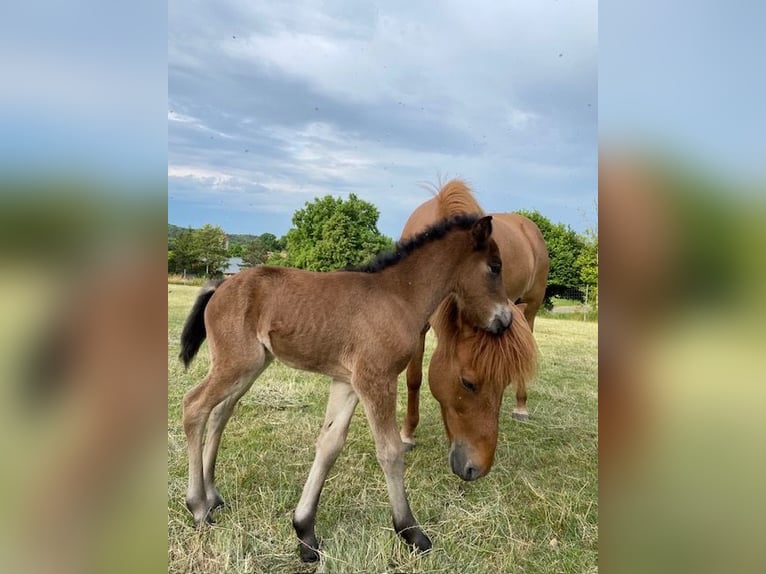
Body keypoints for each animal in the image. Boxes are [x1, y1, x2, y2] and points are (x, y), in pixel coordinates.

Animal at [179, 215, 512, 564]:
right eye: (495, 266)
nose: (504, 320)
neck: (399, 296)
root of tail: (221, 285)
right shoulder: (375, 378)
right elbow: (390, 450)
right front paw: (411, 532)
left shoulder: (348, 382)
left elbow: (329, 444)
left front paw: (305, 533)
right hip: (237, 363)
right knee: (195, 406)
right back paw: (199, 507)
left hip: (249, 366)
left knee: (220, 413)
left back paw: (213, 495)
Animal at [400, 180, 548, 482]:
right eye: (468, 383)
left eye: (503, 383)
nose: (476, 469)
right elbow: (413, 379)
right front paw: (407, 434)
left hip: (531, 308)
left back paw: (521, 406)